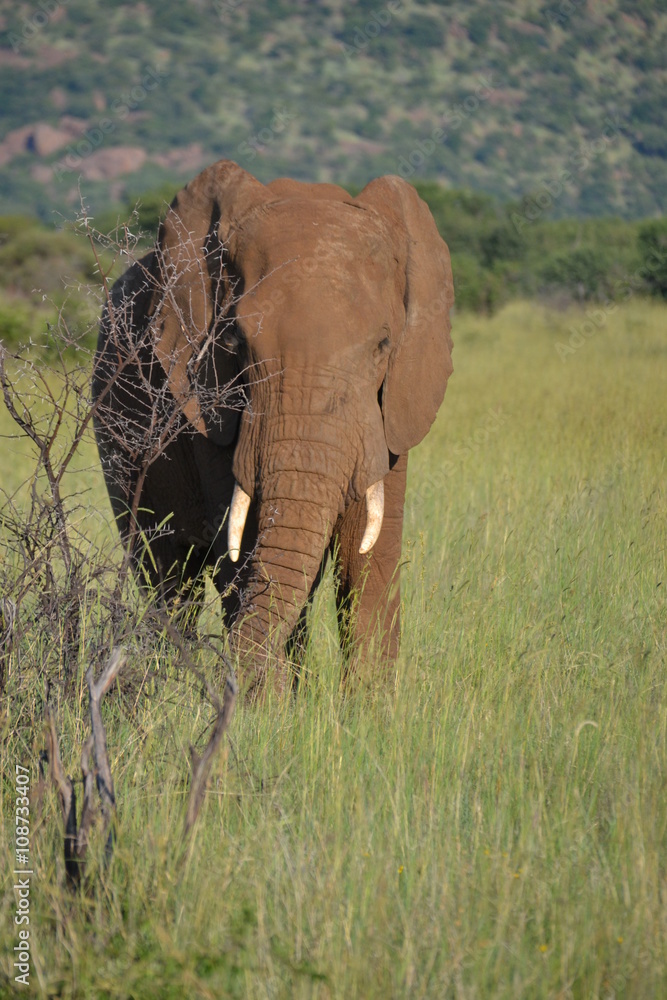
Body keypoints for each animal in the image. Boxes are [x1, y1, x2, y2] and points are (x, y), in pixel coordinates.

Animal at [92, 159, 454, 694]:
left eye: (384, 345)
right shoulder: (207, 402)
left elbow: (368, 553)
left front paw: (370, 710)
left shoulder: (393, 411)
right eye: (237, 344)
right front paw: (267, 710)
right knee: (168, 577)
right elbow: (242, 546)